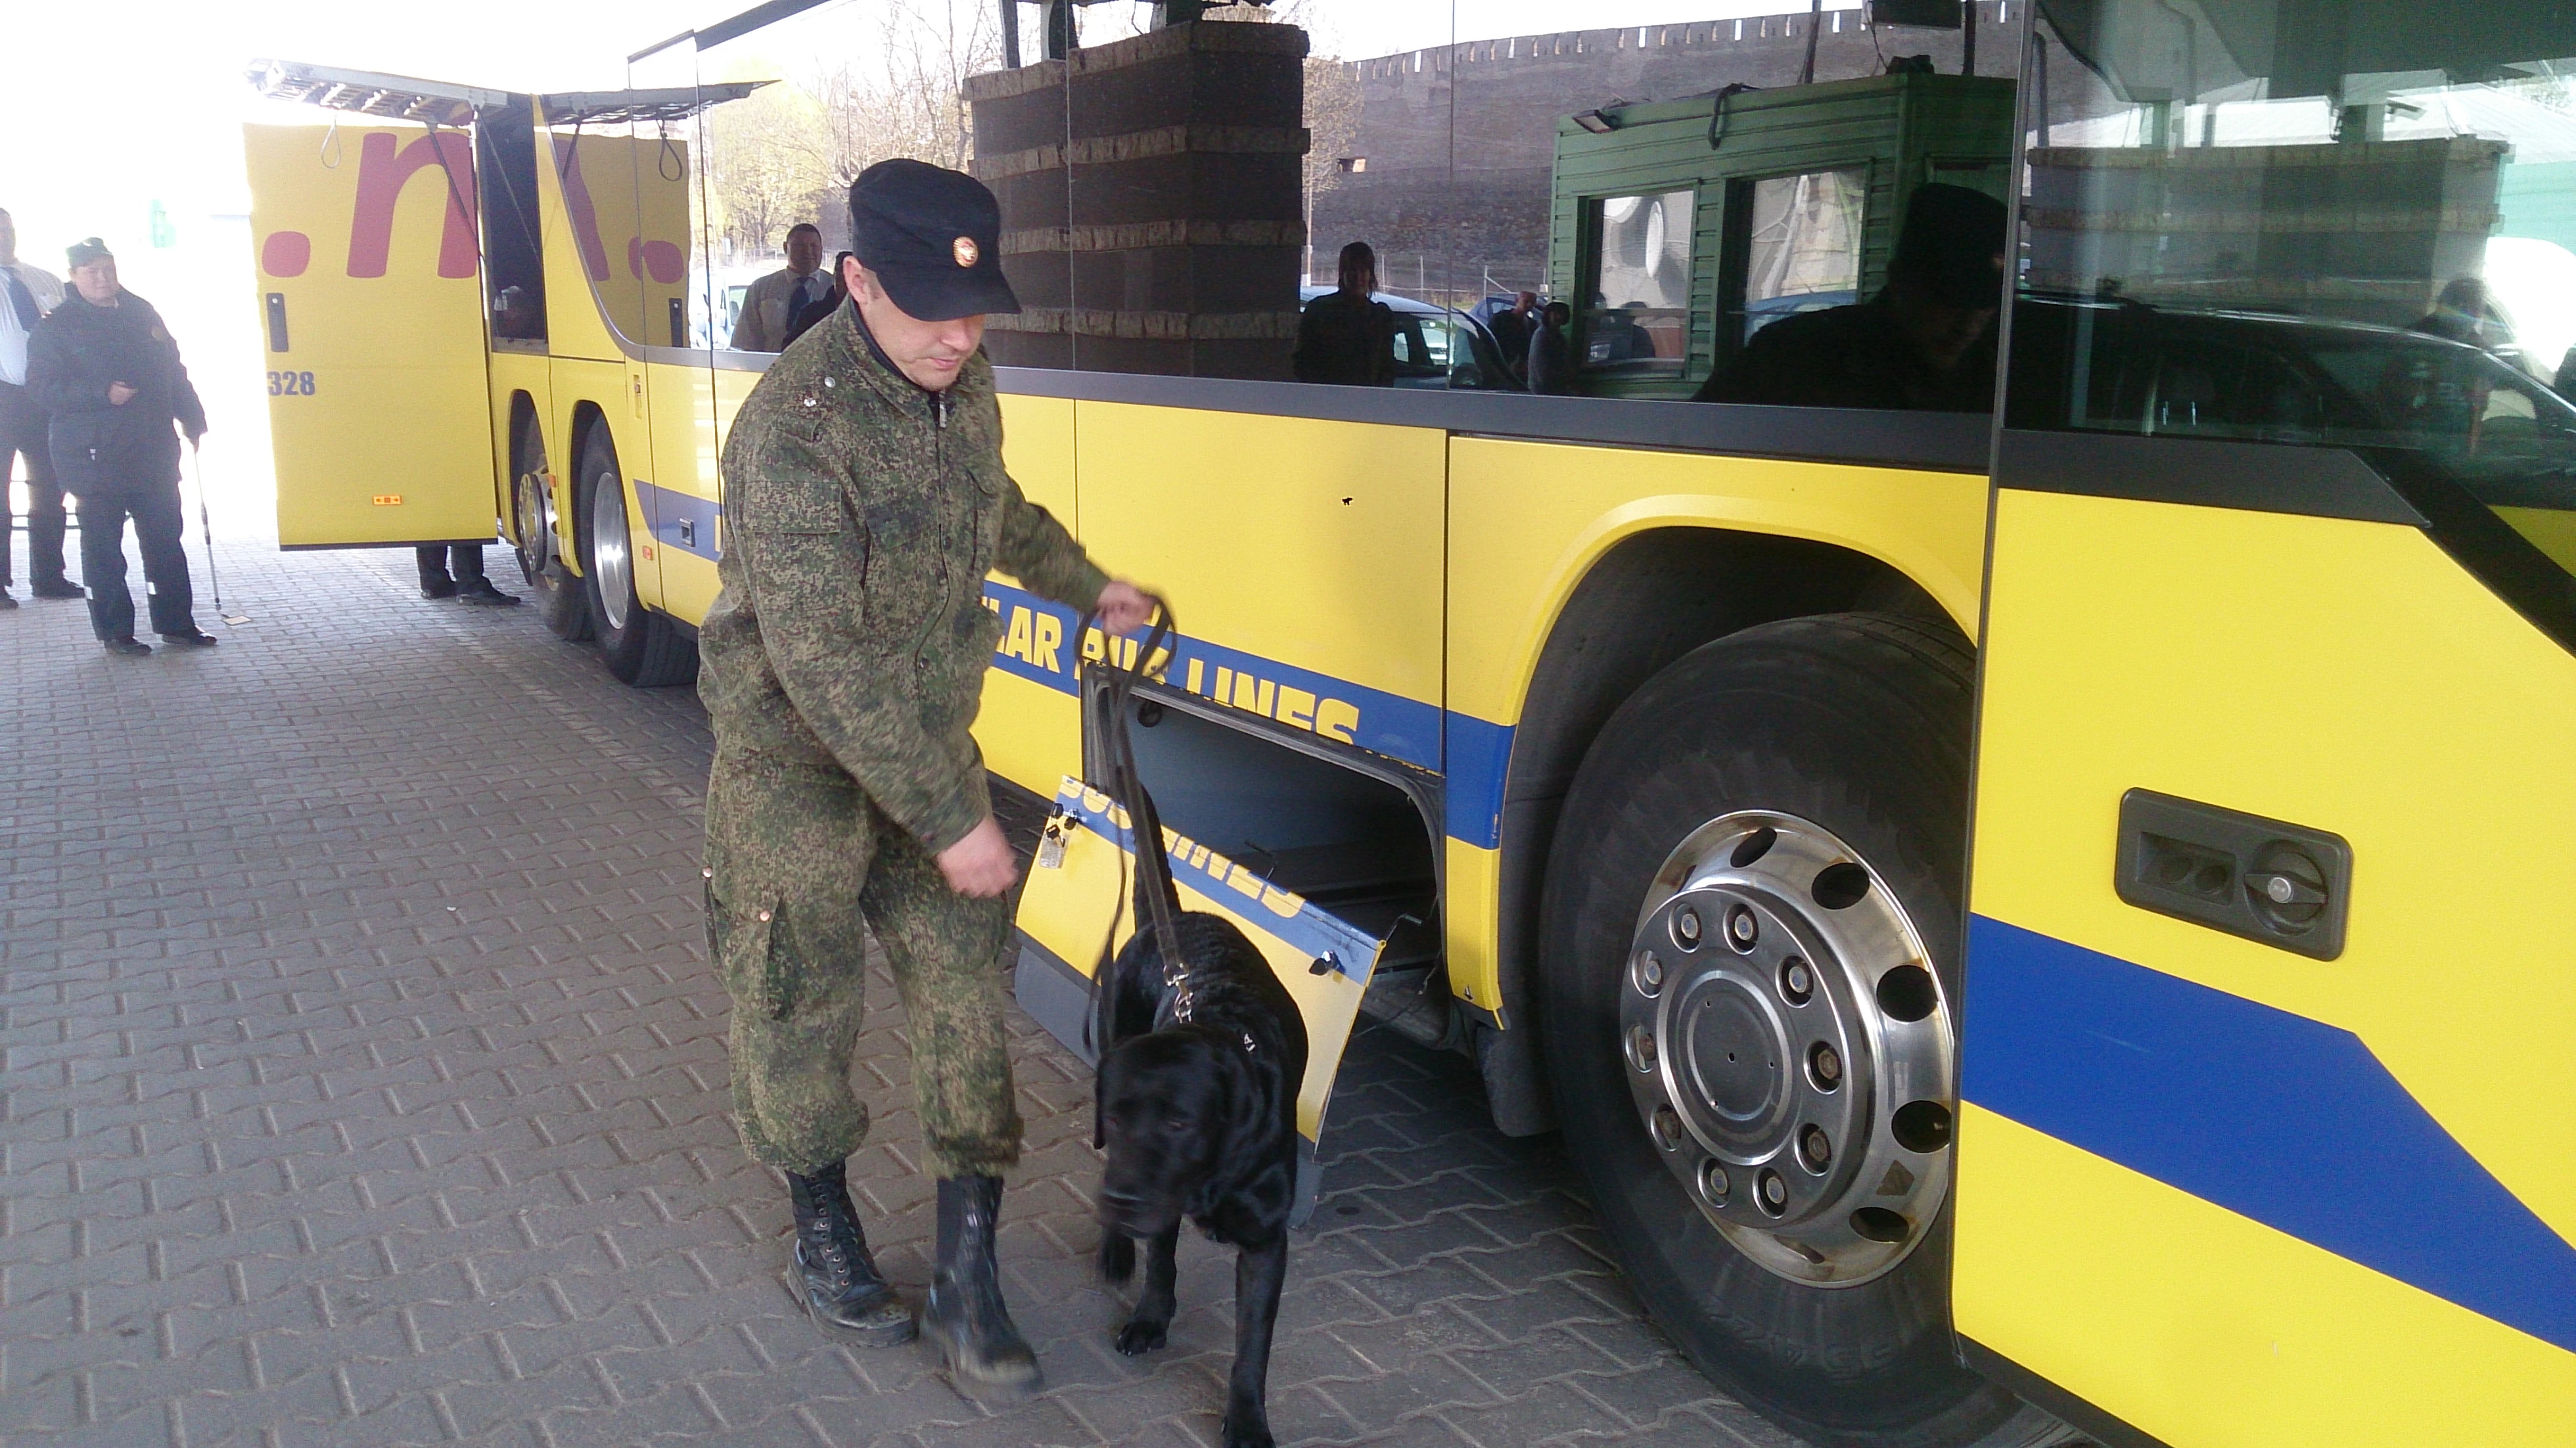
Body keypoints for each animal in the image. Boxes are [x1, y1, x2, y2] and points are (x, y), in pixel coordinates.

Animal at [1092, 907, 1308, 1443]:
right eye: (1115, 1118)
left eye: (1179, 1123)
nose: (1123, 1200)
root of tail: (1179, 915)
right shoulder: (1160, 1202)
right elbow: (1160, 1264)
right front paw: (1151, 1319)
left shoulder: (1265, 1242)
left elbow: (1252, 1342)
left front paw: (1248, 1418)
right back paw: (1116, 1247)